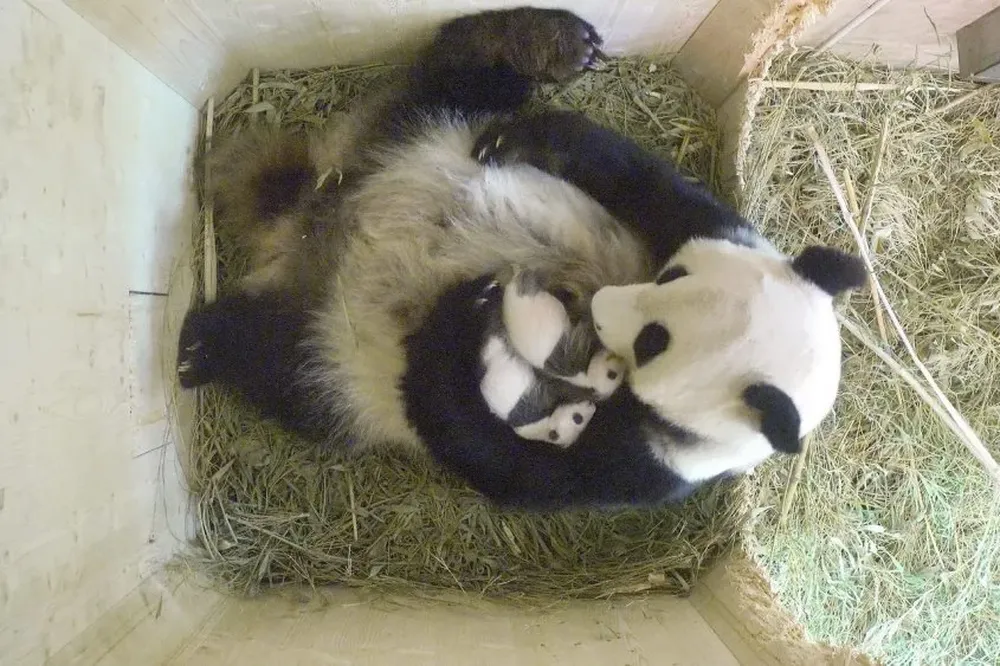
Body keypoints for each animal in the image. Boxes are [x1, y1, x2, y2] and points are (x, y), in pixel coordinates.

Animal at [177, 6, 867, 510]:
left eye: (651, 344)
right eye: (670, 277)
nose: (595, 304)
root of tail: (311, 226)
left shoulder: (656, 463)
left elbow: (518, 469)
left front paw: (454, 326)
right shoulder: (715, 230)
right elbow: (643, 180)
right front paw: (530, 137)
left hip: (334, 351)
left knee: (279, 365)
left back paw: (202, 346)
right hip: (426, 124)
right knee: (459, 68)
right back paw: (552, 43)